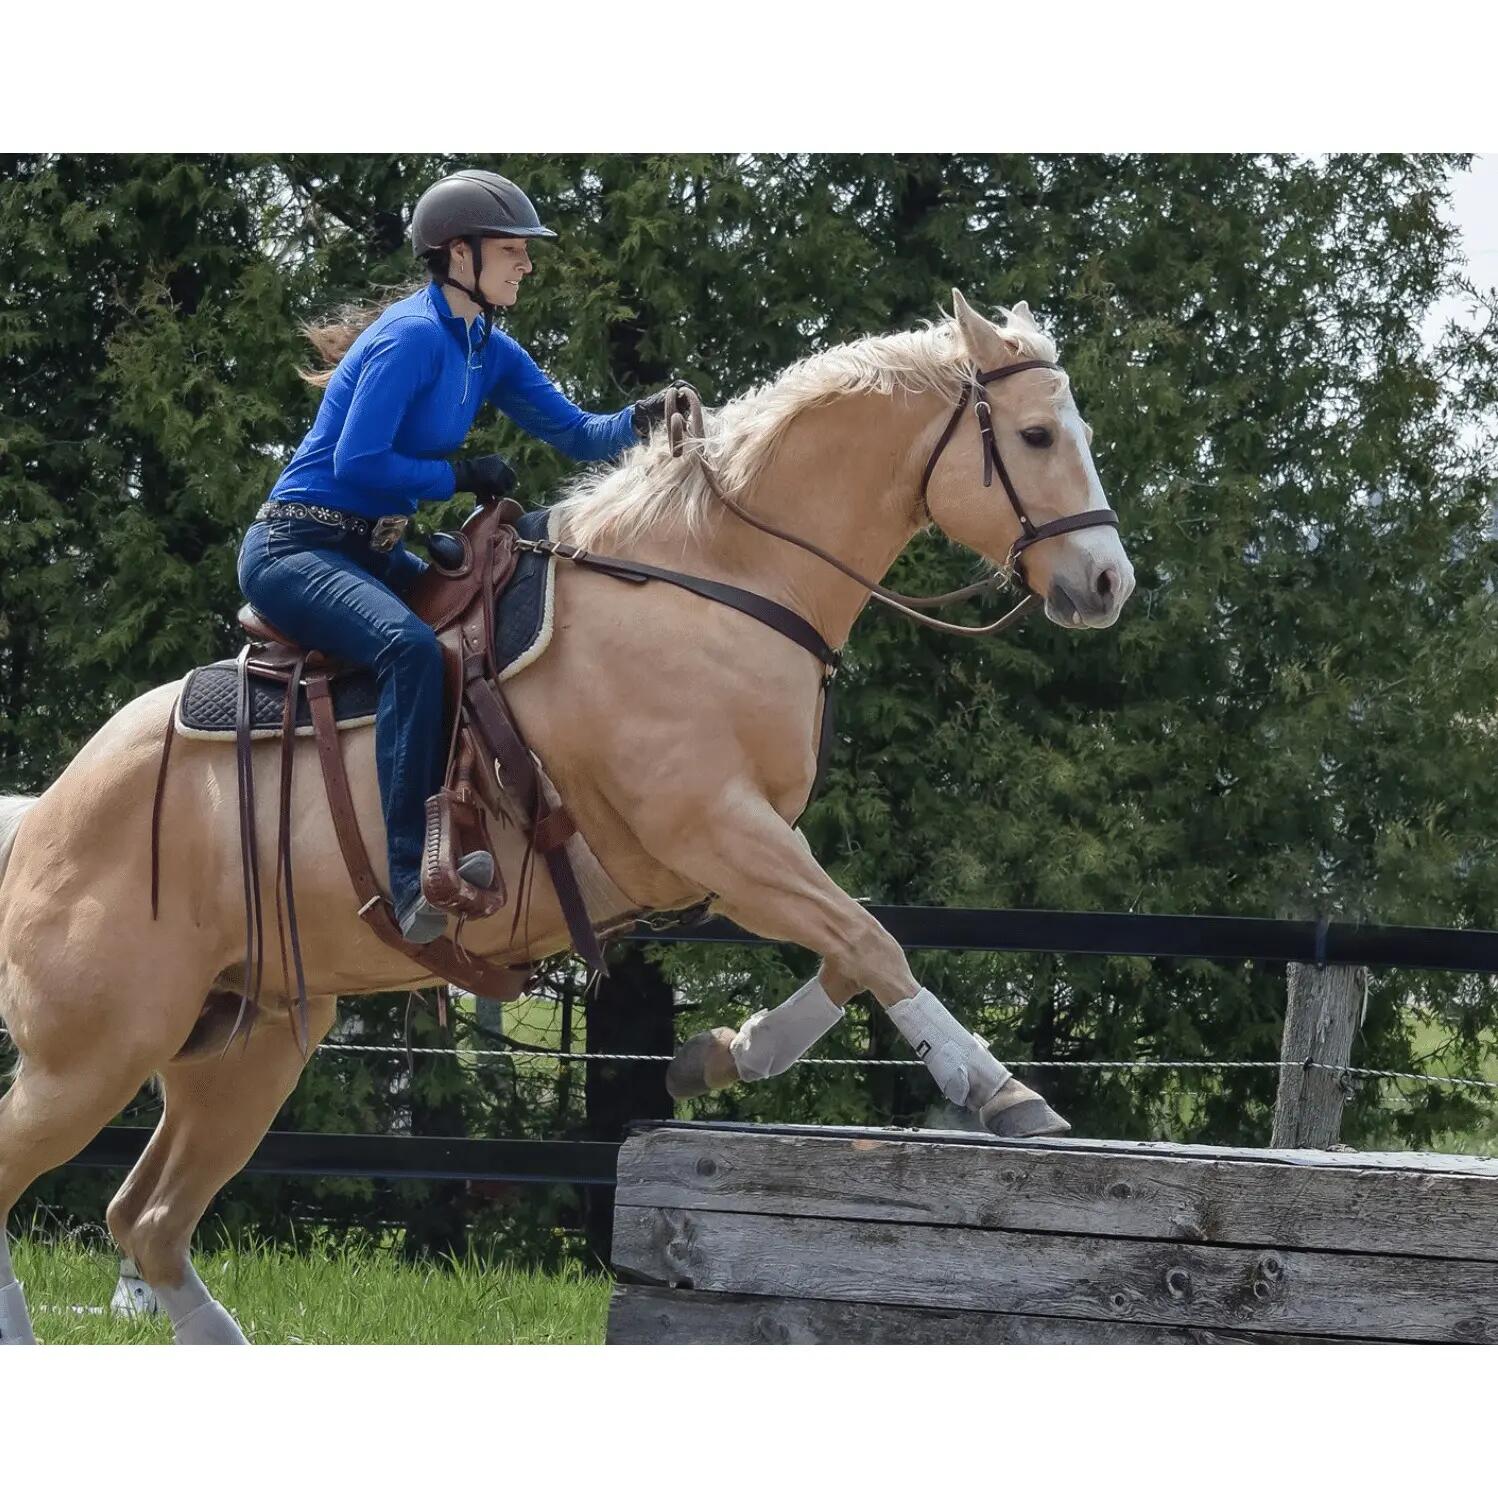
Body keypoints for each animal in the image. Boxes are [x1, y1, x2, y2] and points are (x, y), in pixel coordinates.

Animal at [0, 290, 1133, 1343]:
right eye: (1038, 435)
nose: (1107, 581)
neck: (717, 580)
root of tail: (46, 813)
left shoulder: (734, 854)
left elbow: (853, 949)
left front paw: (722, 1055)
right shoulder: (714, 830)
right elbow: (873, 940)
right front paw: (999, 1091)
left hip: (247, 1043)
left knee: (147, 1219)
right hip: (92, 1057)